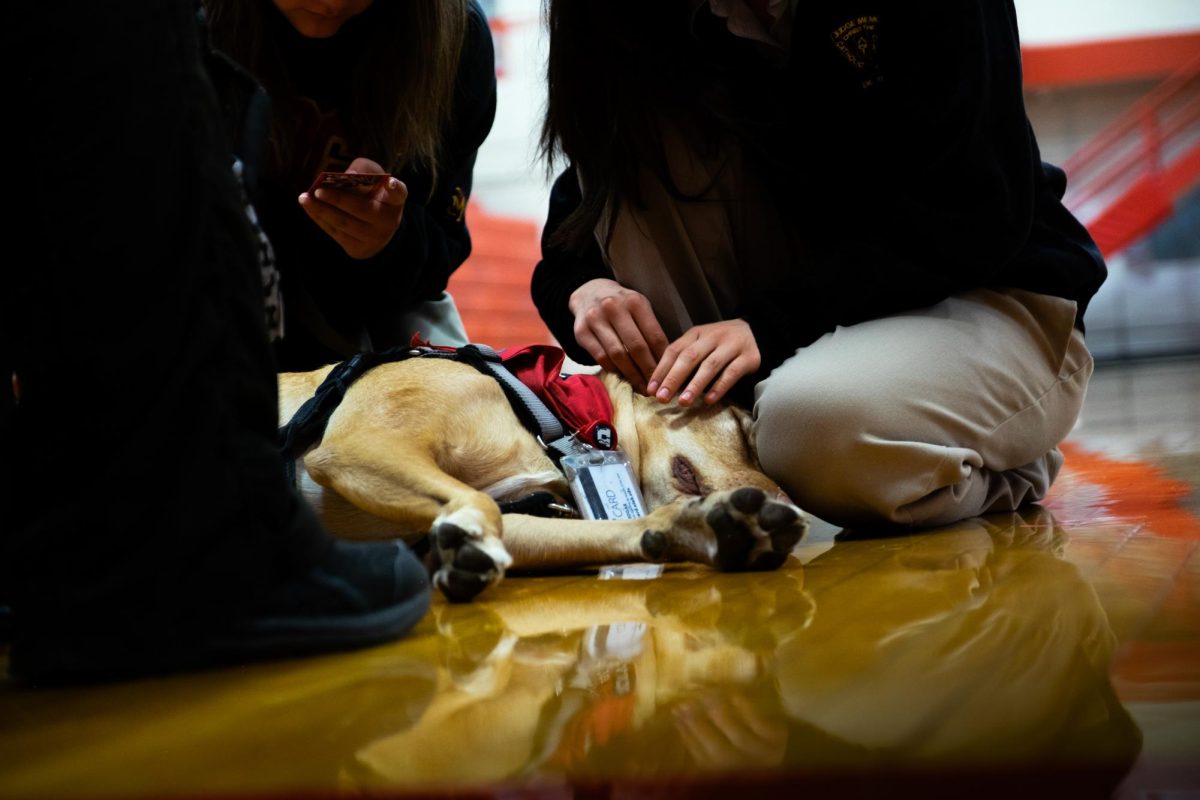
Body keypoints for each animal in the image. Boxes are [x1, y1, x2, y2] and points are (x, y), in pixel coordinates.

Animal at [278, 352, 806, 604]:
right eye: (743, 428)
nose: (795, 508)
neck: (551, 416)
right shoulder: (359, 443)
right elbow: (479, 507)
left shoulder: (523, 515)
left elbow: (622, 531)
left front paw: (712, 529)